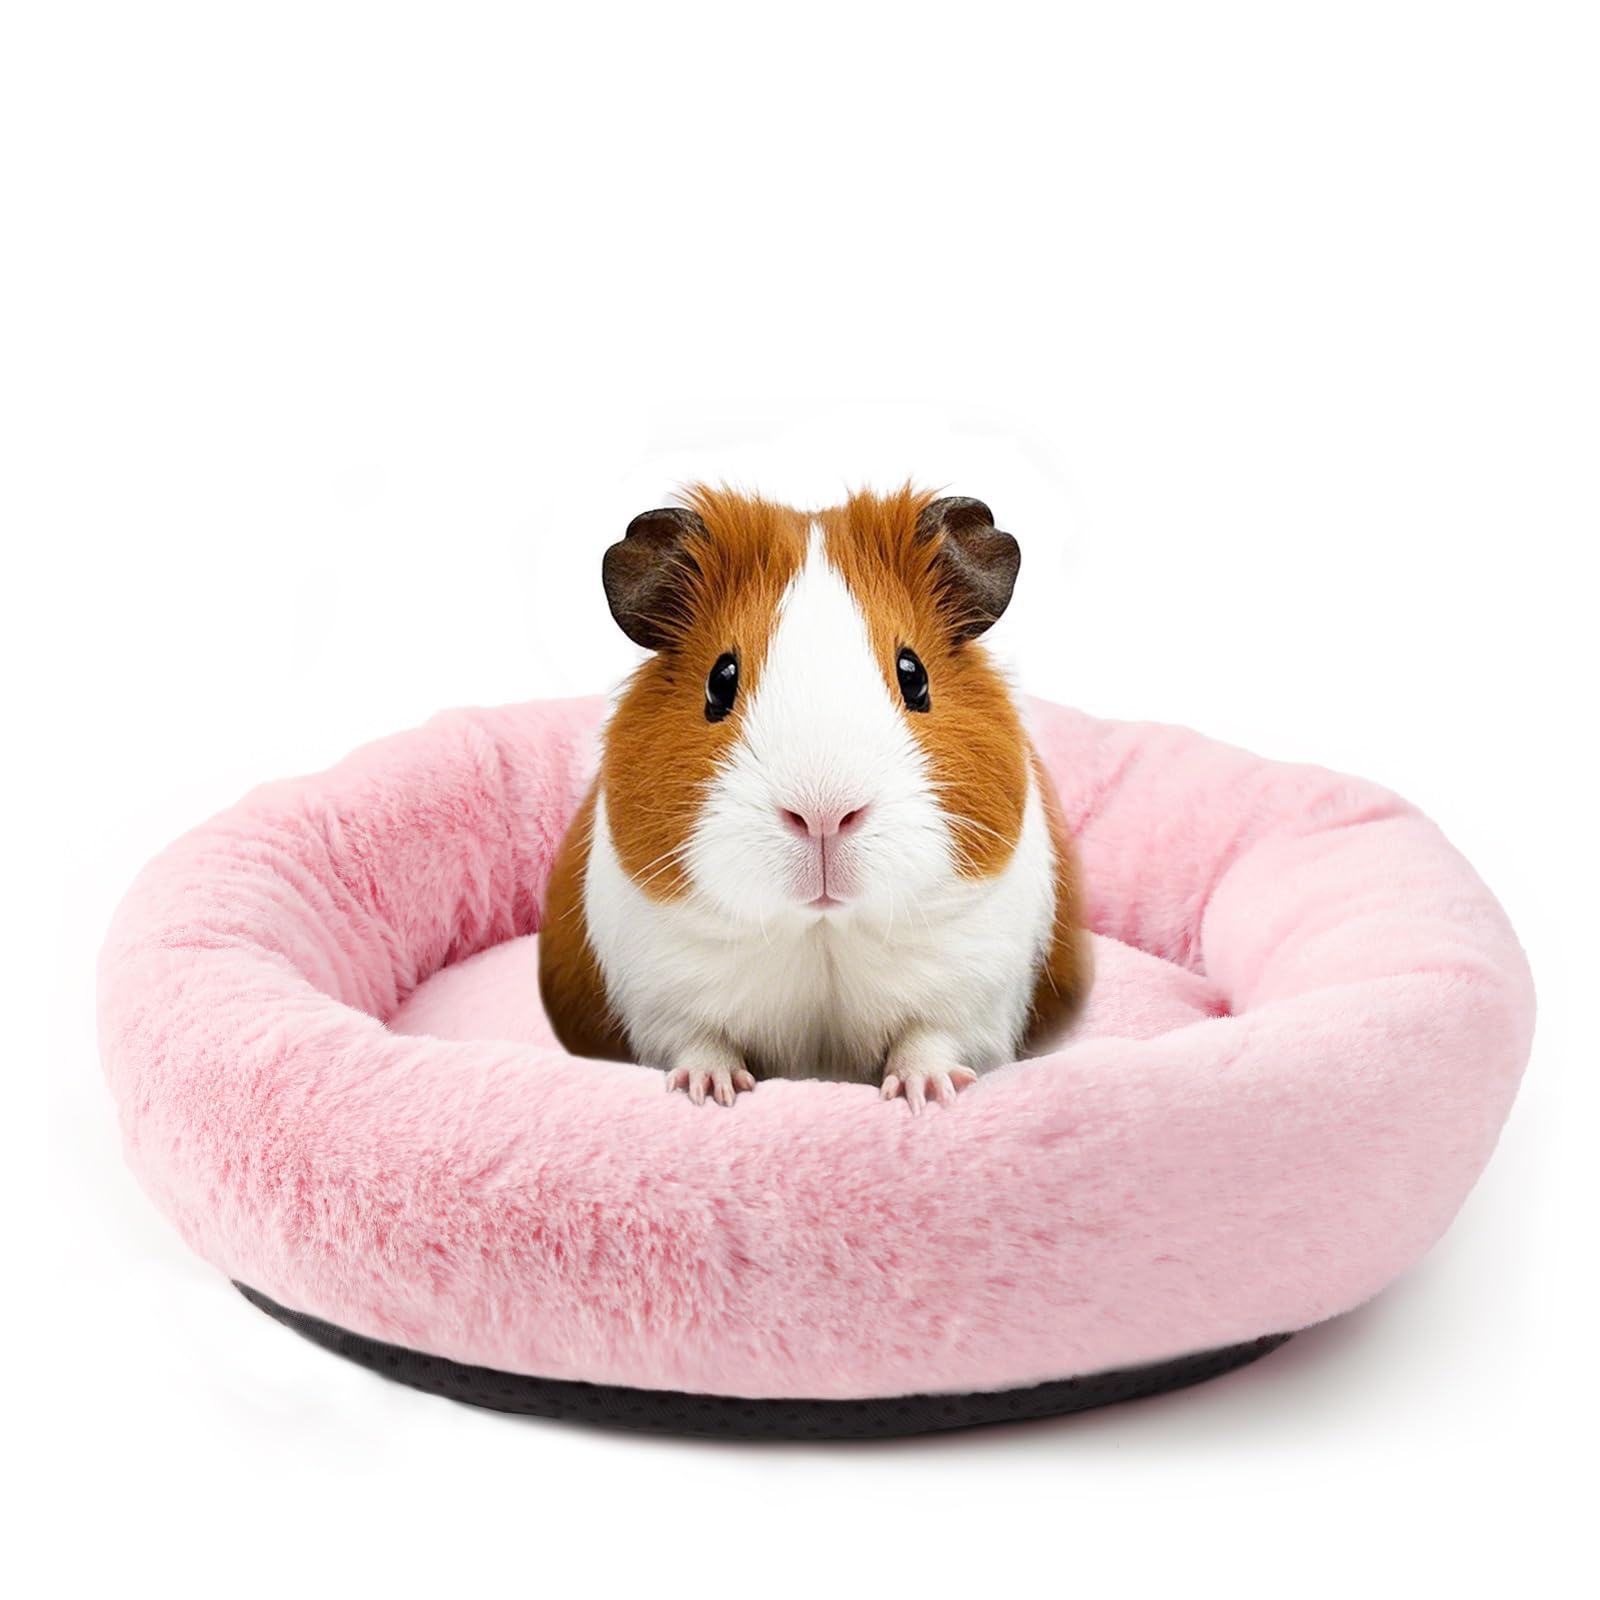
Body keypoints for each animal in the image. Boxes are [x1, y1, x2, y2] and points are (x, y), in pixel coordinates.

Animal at [538, 484, 1091, 1110]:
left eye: (914, 675)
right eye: (720, 680)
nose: (823, 814)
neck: (821, 934)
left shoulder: (972, 995)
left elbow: (928, 1039)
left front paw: (927, 1094)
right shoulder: (663, 998)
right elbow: (699, 1042)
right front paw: (713, 1092)